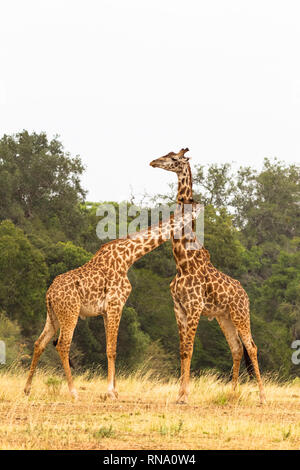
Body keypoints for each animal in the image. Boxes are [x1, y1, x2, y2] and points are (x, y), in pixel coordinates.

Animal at [24, 199, 199, 400]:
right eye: (194, 208)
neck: (129, 256)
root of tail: (49, 294)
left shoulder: (106, 311)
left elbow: (110, 347)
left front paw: (114, 391)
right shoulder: (116, 304)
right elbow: (112, 349)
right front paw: (110, 392)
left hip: (52, 315)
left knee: (39, 343)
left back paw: (27, 389)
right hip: (70, 314)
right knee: (62, 345)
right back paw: (74, 392)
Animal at [151, 150, 266, 404]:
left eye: (174, 158)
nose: (153, 162)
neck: (183, 262)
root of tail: (246, 295)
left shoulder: (194, 307)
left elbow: (189, 349)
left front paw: (185, 396)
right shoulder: (179, 307)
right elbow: (182, 349)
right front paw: (179, 394)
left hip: (240, 314)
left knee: (251, 347)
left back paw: (262, 397)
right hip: (224, 317)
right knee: (236, 348)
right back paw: (232, 394)